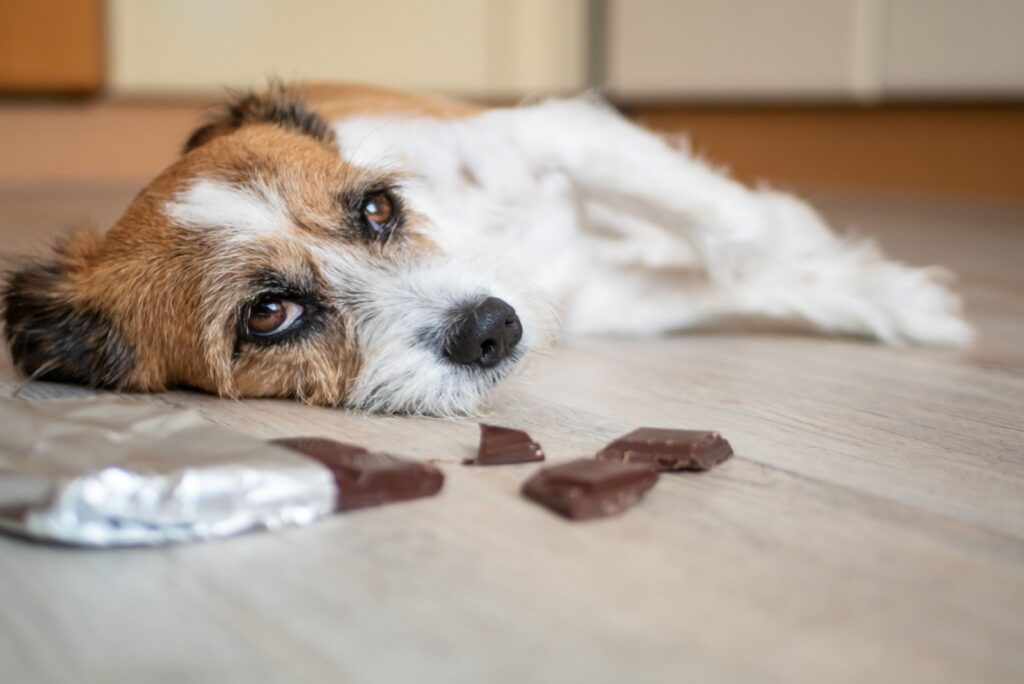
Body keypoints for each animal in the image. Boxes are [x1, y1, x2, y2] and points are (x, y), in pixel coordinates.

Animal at [2, 83, 974, 417]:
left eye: (378, 209)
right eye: (268, 314)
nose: (492, 329)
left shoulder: (563, 134)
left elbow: (741, 233)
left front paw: (900, 299)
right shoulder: (613, 301)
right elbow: (741, 269)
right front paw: (881, 292)